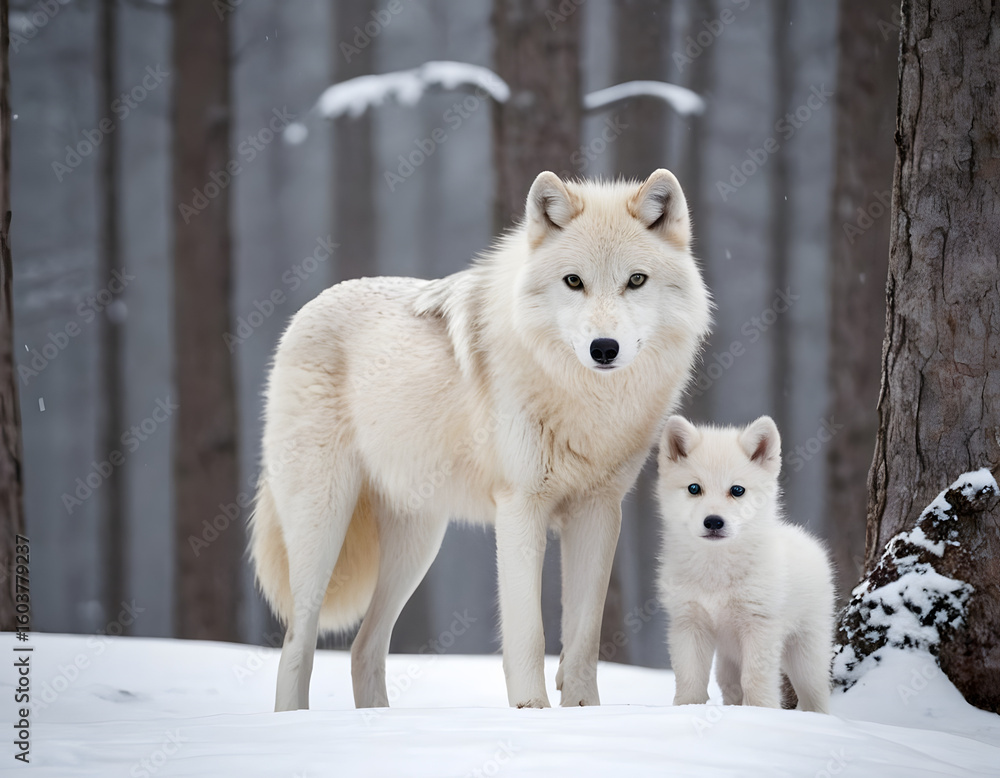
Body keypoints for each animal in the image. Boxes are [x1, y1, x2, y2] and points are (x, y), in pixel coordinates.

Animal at [250, 170, 711, 711]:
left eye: (636, 280)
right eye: (573, 281)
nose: (604, 348)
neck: (586, 403)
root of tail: (306, 310)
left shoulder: (598, 512)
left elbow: (583, 636)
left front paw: (582, 712)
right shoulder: (520, 507)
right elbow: (528, 633)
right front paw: (531, 710)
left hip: (417, 546)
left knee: (364, 647)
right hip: (322, 526)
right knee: (296, 643)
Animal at [656, 416, 834, 713]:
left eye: (737, 490)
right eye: (694, 488)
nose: (713, 522)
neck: (716, 574)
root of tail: (807, 540)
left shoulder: (759, 627)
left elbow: (756, 678)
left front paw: (762, 712)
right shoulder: (688, 624)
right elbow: (690, 678)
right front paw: (687, 709)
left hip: (806, 659)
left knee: (816, 698)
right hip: (727, 663)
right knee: (731, 688)